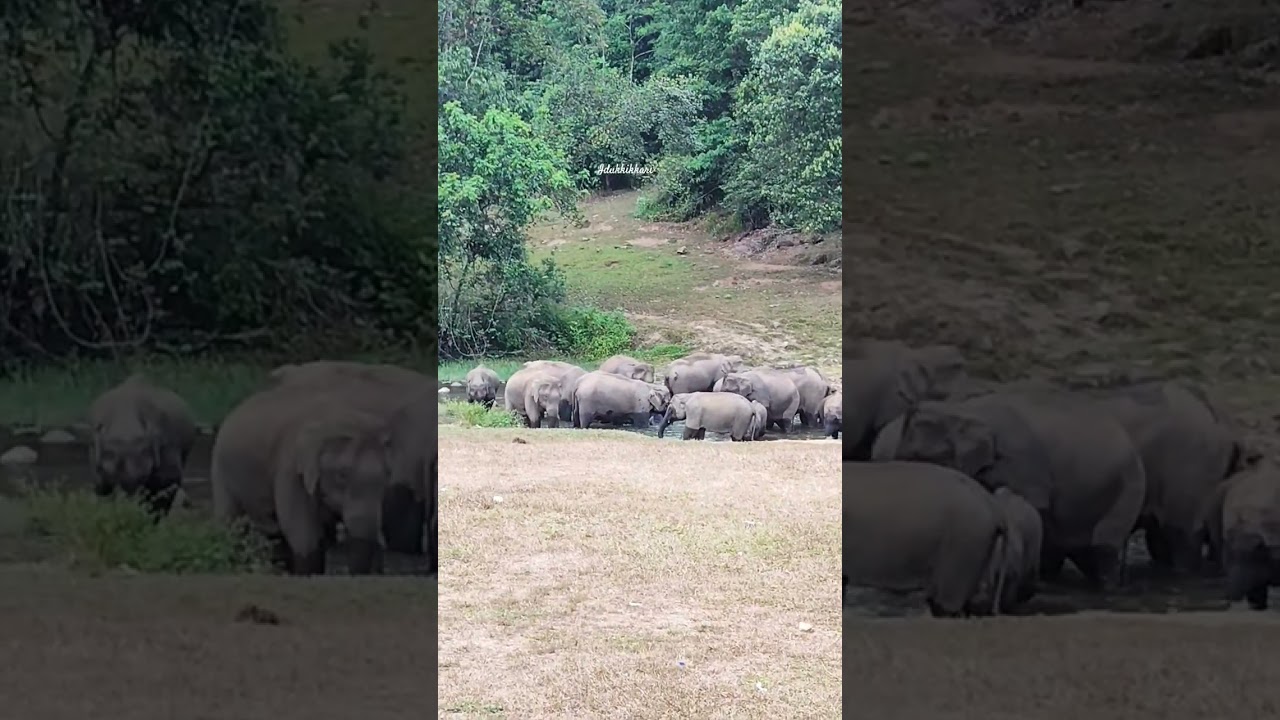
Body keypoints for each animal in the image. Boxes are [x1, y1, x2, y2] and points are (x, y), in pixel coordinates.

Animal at [211, 385, 398, 575]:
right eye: (342, 475)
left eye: (388, 474)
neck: (338, 417)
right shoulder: (290, 469)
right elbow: (304, 536)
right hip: (220, 470)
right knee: (230, 525)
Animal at [870, 392, 1146, 590]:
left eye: (919, 456)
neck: (962, 411)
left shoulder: (1022, 461)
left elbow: (1033, 503)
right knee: (1080, 550)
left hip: (1127, 489)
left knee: (1103, 547)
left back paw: (1106, 587)